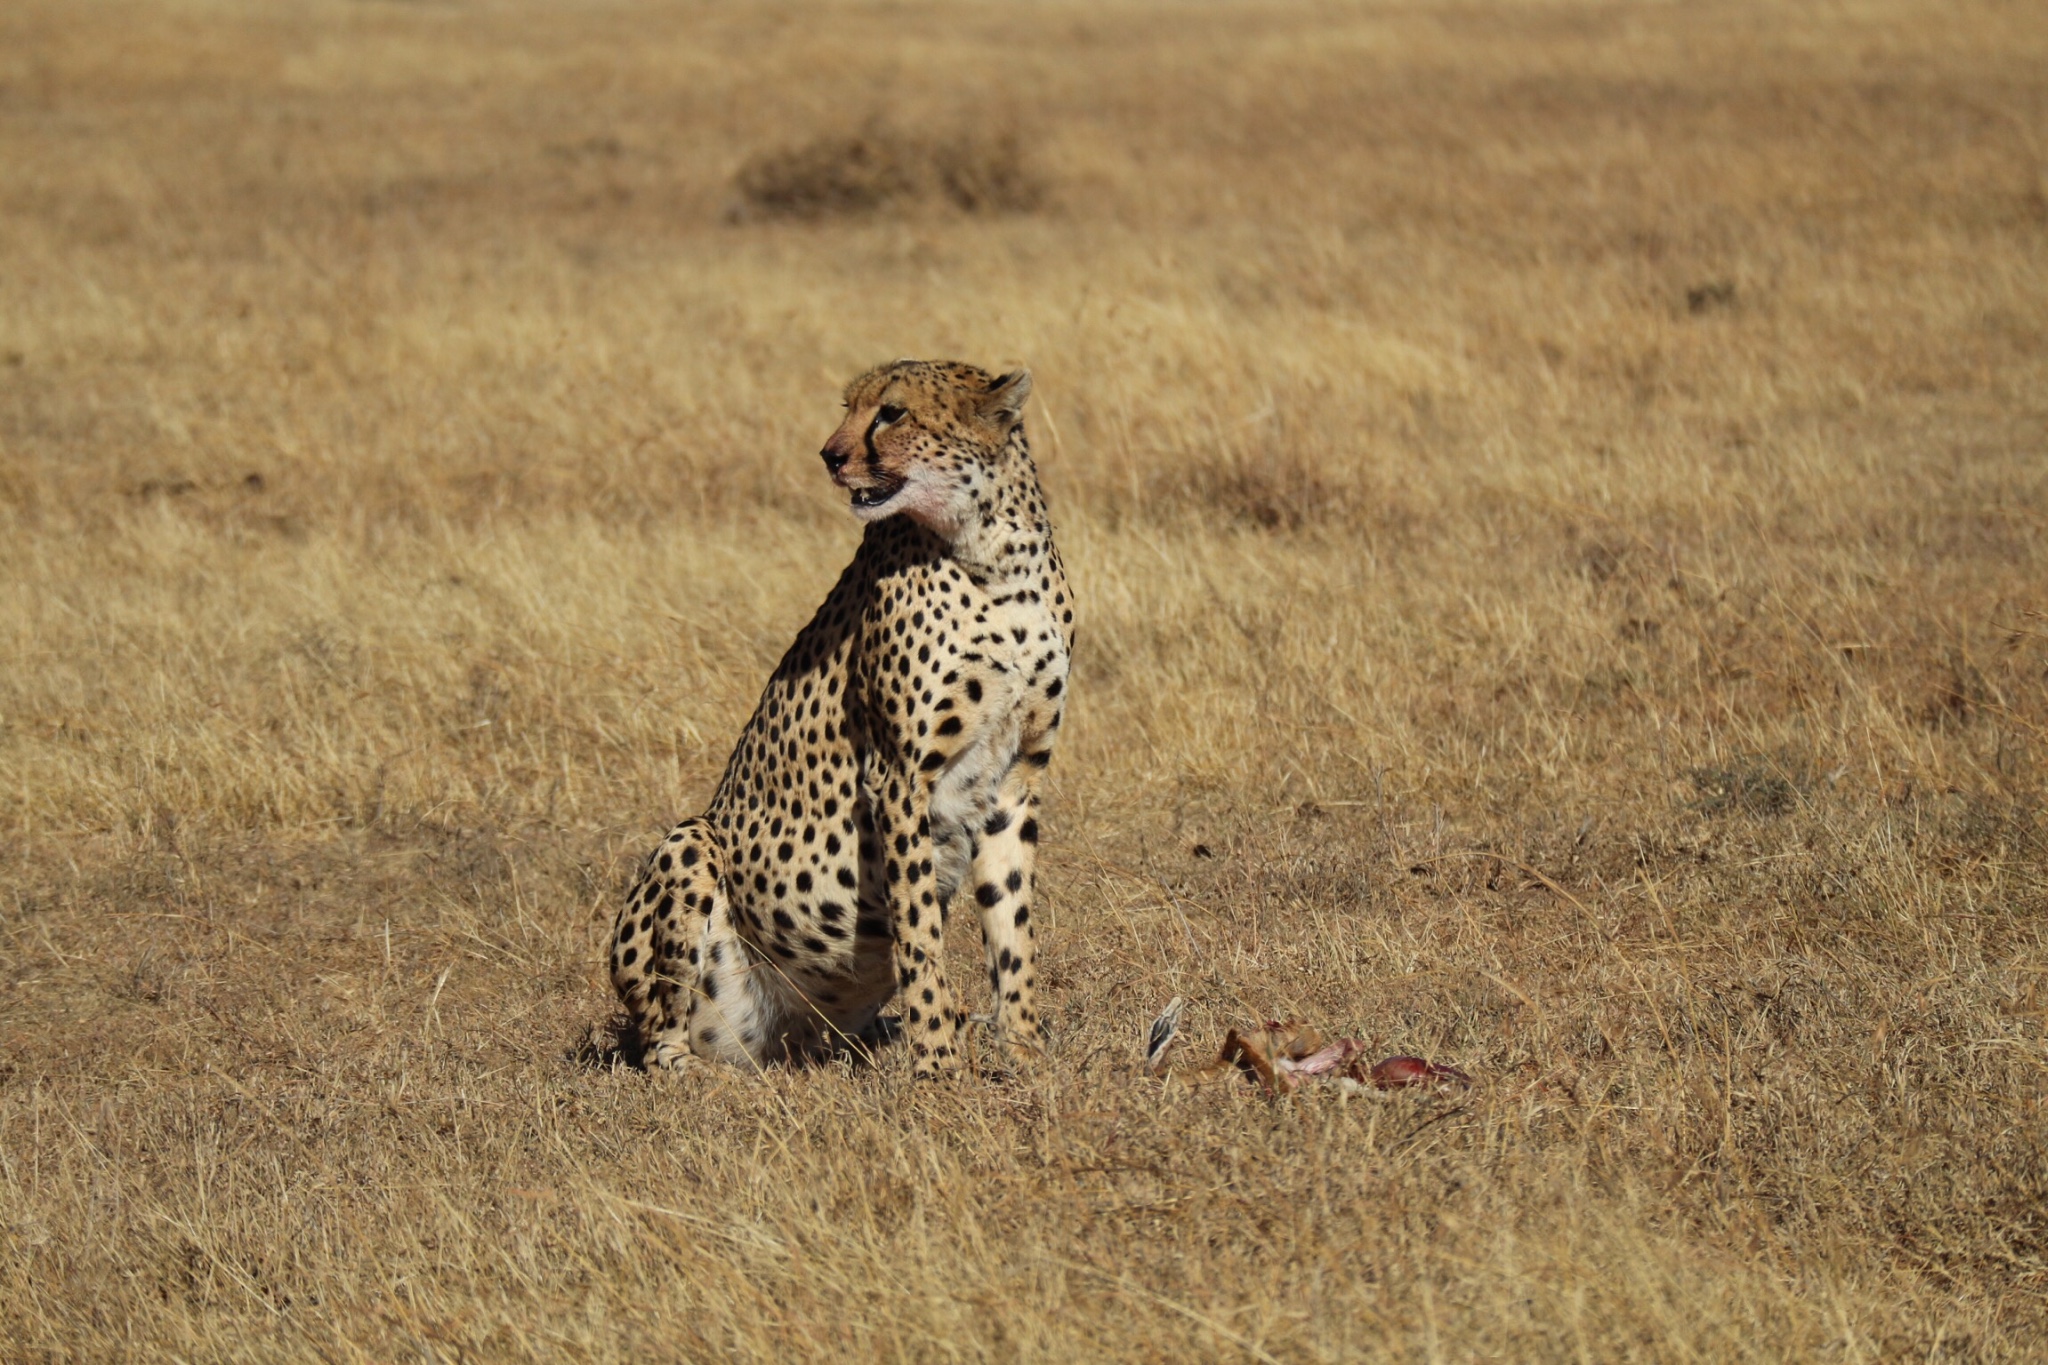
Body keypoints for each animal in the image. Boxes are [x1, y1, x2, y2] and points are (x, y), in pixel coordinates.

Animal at [606, 360, 1081, 1080]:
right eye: (848, 408)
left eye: (892, 412)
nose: (829, 455)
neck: (993, 554)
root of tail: (779, 1043)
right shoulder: (900, 776)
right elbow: (920, 933)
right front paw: (938, 1064)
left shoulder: (1015, 779)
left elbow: (1011, 921)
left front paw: (1022, 1046)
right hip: (690, 843)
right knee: (661, 1039)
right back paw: (700, 1075)